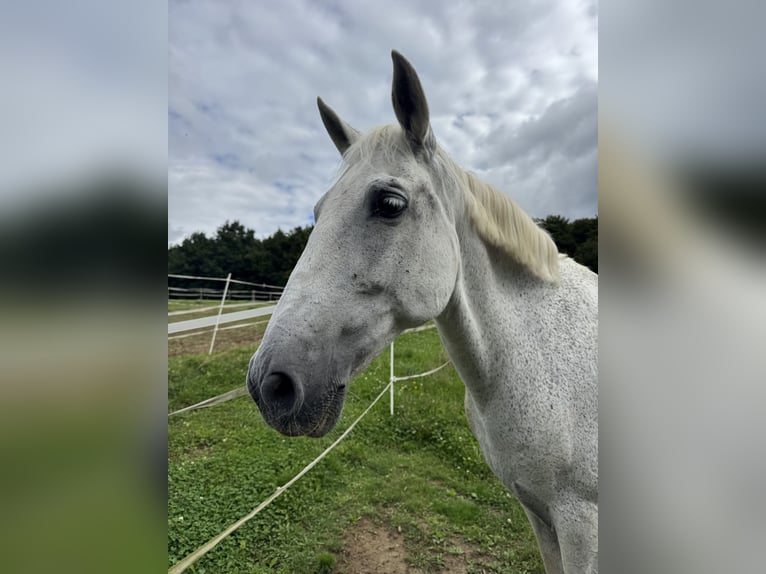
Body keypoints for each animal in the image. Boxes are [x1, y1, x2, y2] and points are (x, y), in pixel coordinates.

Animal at [247, 50, 598, 574]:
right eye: (318, 210)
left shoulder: (582, 522)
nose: (268, 384)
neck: (536, 357)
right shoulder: (540, 514)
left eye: (390, 203)